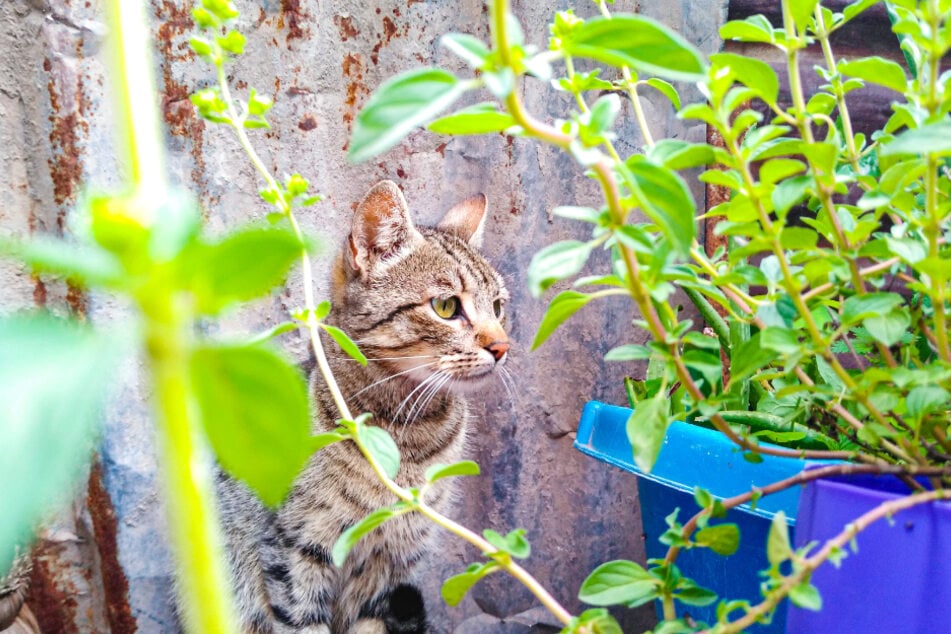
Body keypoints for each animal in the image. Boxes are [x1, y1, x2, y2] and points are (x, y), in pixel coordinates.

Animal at [217, 180, 512, 628]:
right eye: (446, 307)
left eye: (498, 307)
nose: (502, 346)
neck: (406, 433)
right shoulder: (294, 549)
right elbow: (303, 622)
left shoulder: (390, 566)